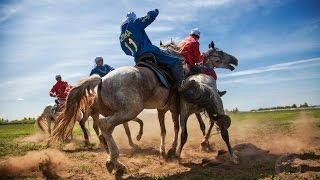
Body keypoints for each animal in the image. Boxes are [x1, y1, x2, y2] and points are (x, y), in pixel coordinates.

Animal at [50, 40, 238, 174]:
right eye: (220, 52)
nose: (235, 60)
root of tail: (102, 80)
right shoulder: (176, 108)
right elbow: (177, 128)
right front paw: (172, 150)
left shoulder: (163, 109)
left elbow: (165, 129)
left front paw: (165, 151)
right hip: (129, 110)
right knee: (104, 125)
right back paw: (116, 161)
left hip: (116, 112)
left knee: (104, 129)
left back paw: (112, 158)